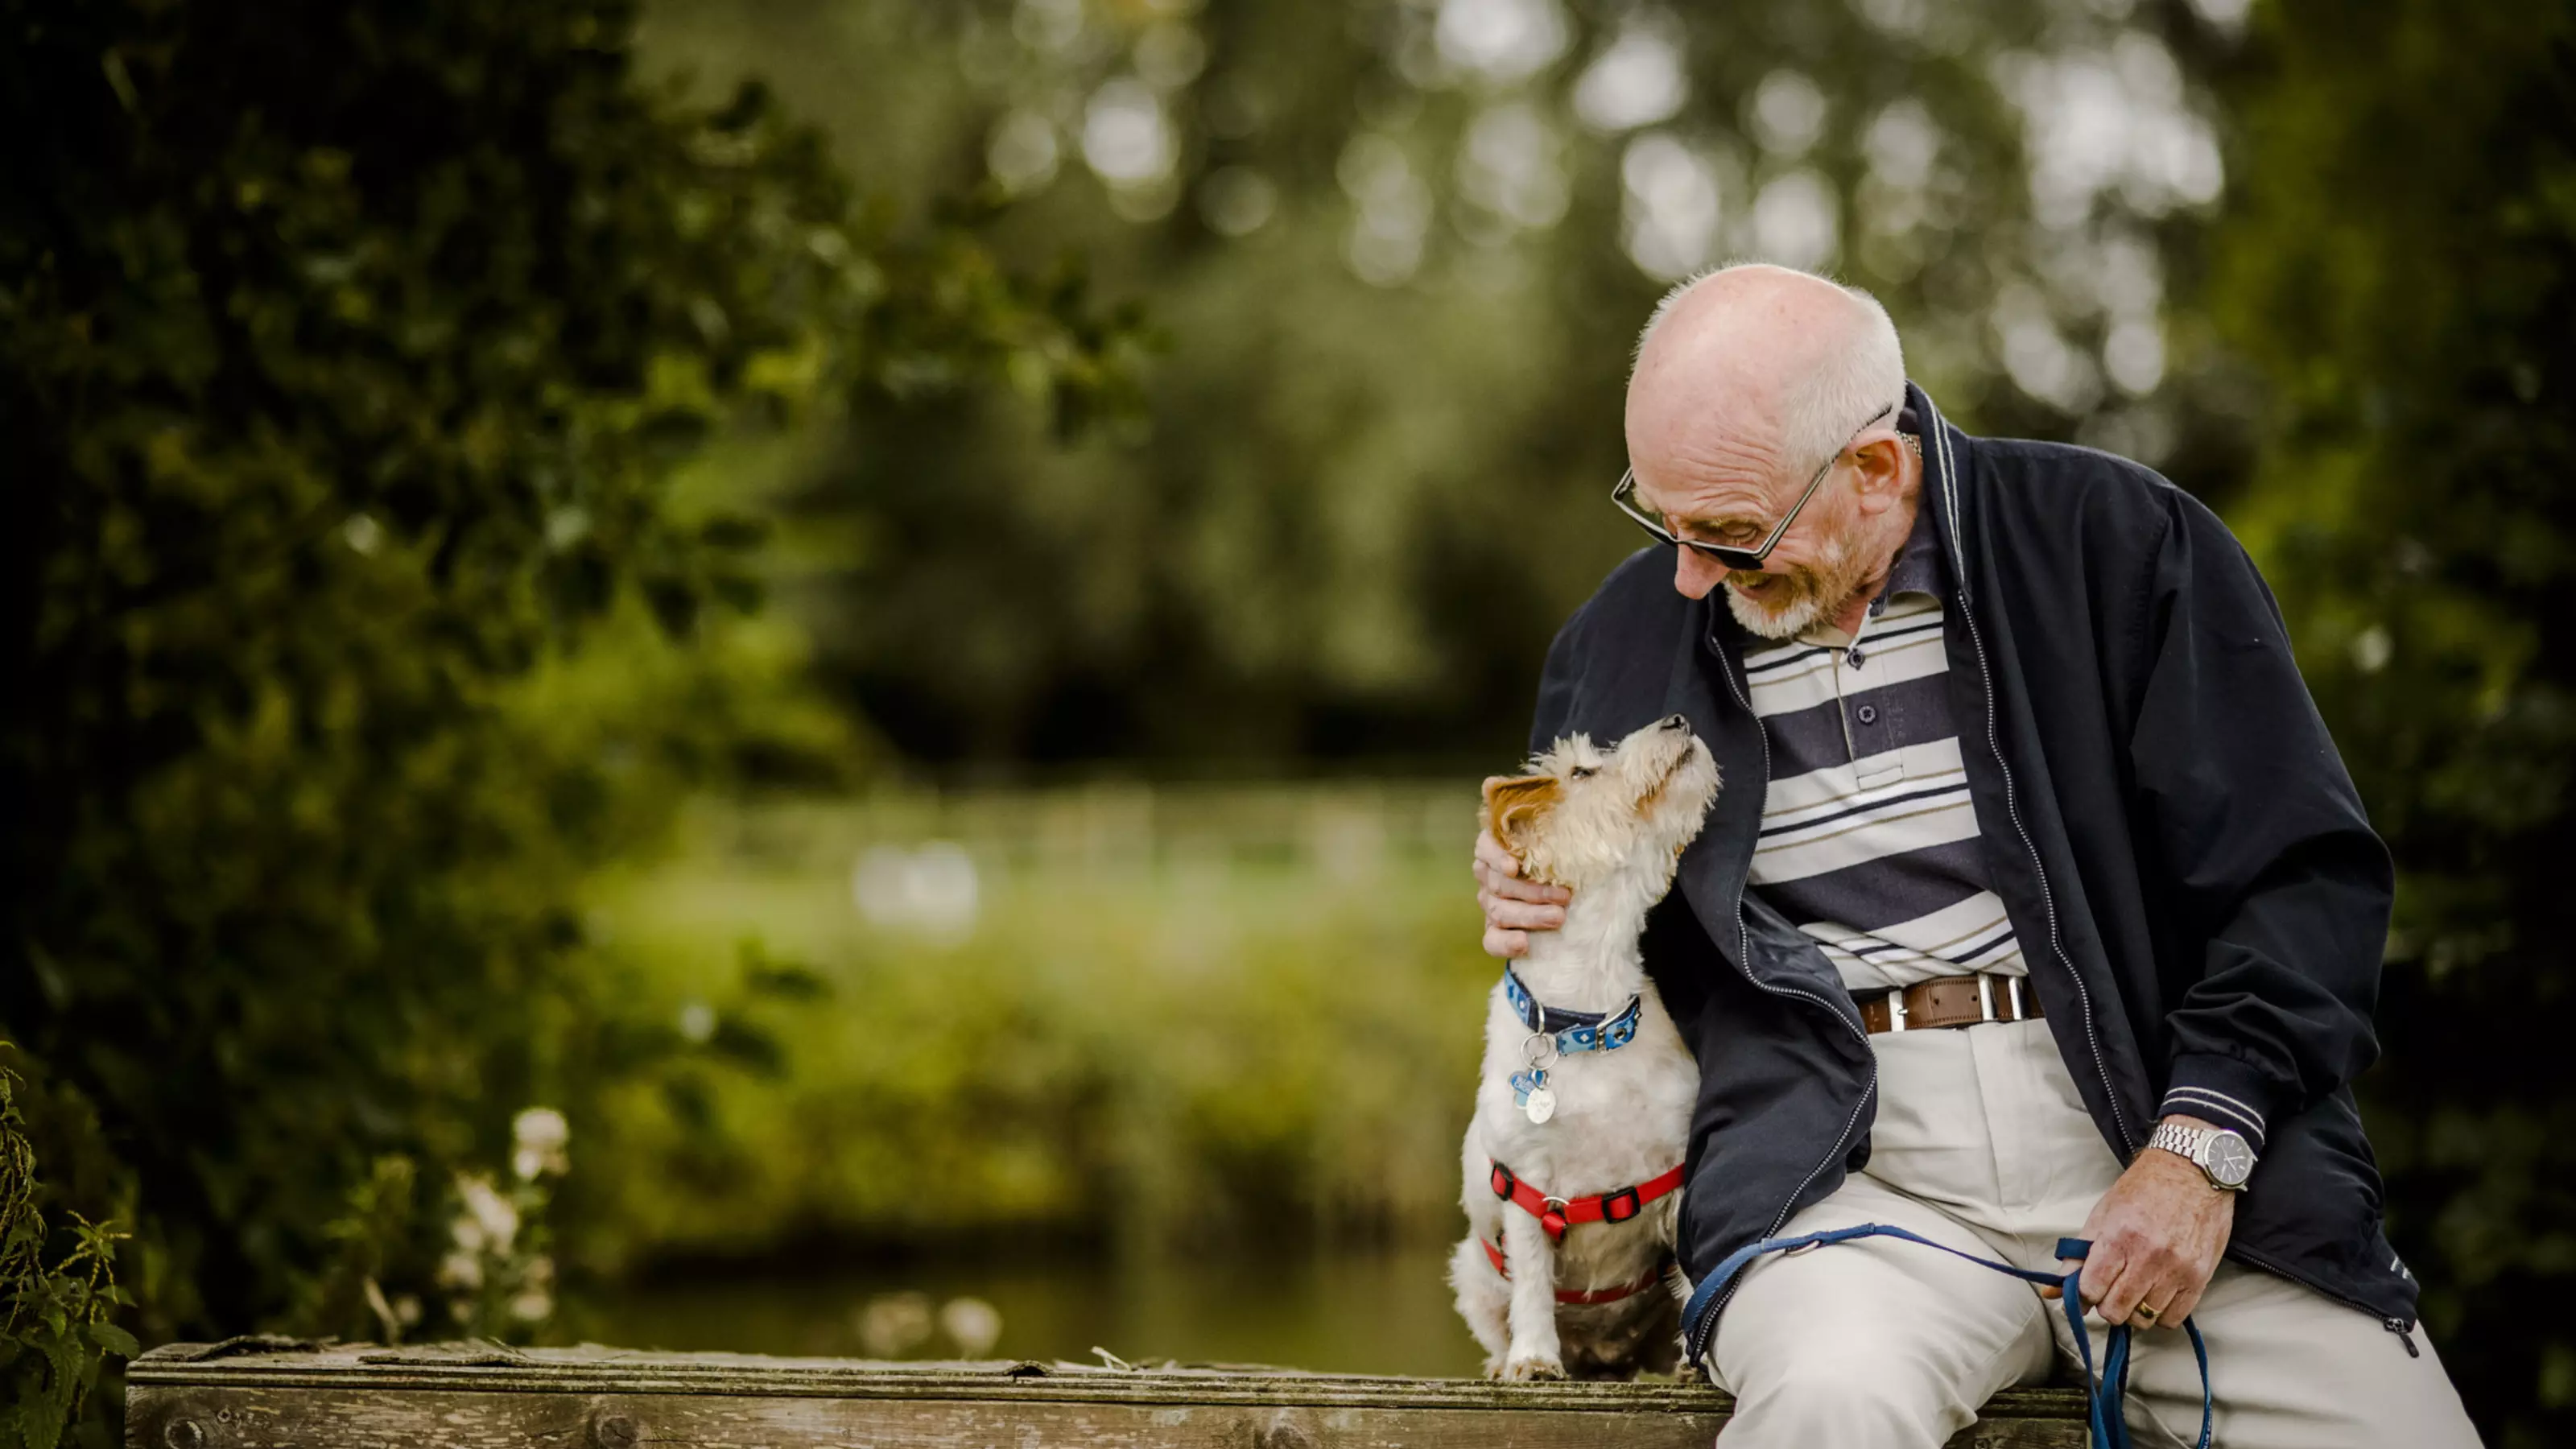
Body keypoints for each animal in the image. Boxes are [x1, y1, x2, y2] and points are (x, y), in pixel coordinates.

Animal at [1452, 711, 1710, 1371]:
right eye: (1584, 772)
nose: (1677, 717)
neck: (1589, 1026)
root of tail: (1602, 1351)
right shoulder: (1526, 1185)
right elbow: (1533, 1281)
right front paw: (1534, 1358)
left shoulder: (1678, 1165)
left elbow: (1695, 1259)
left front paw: (1698, 1356)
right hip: (1469, 1272)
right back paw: (1505, 1361)